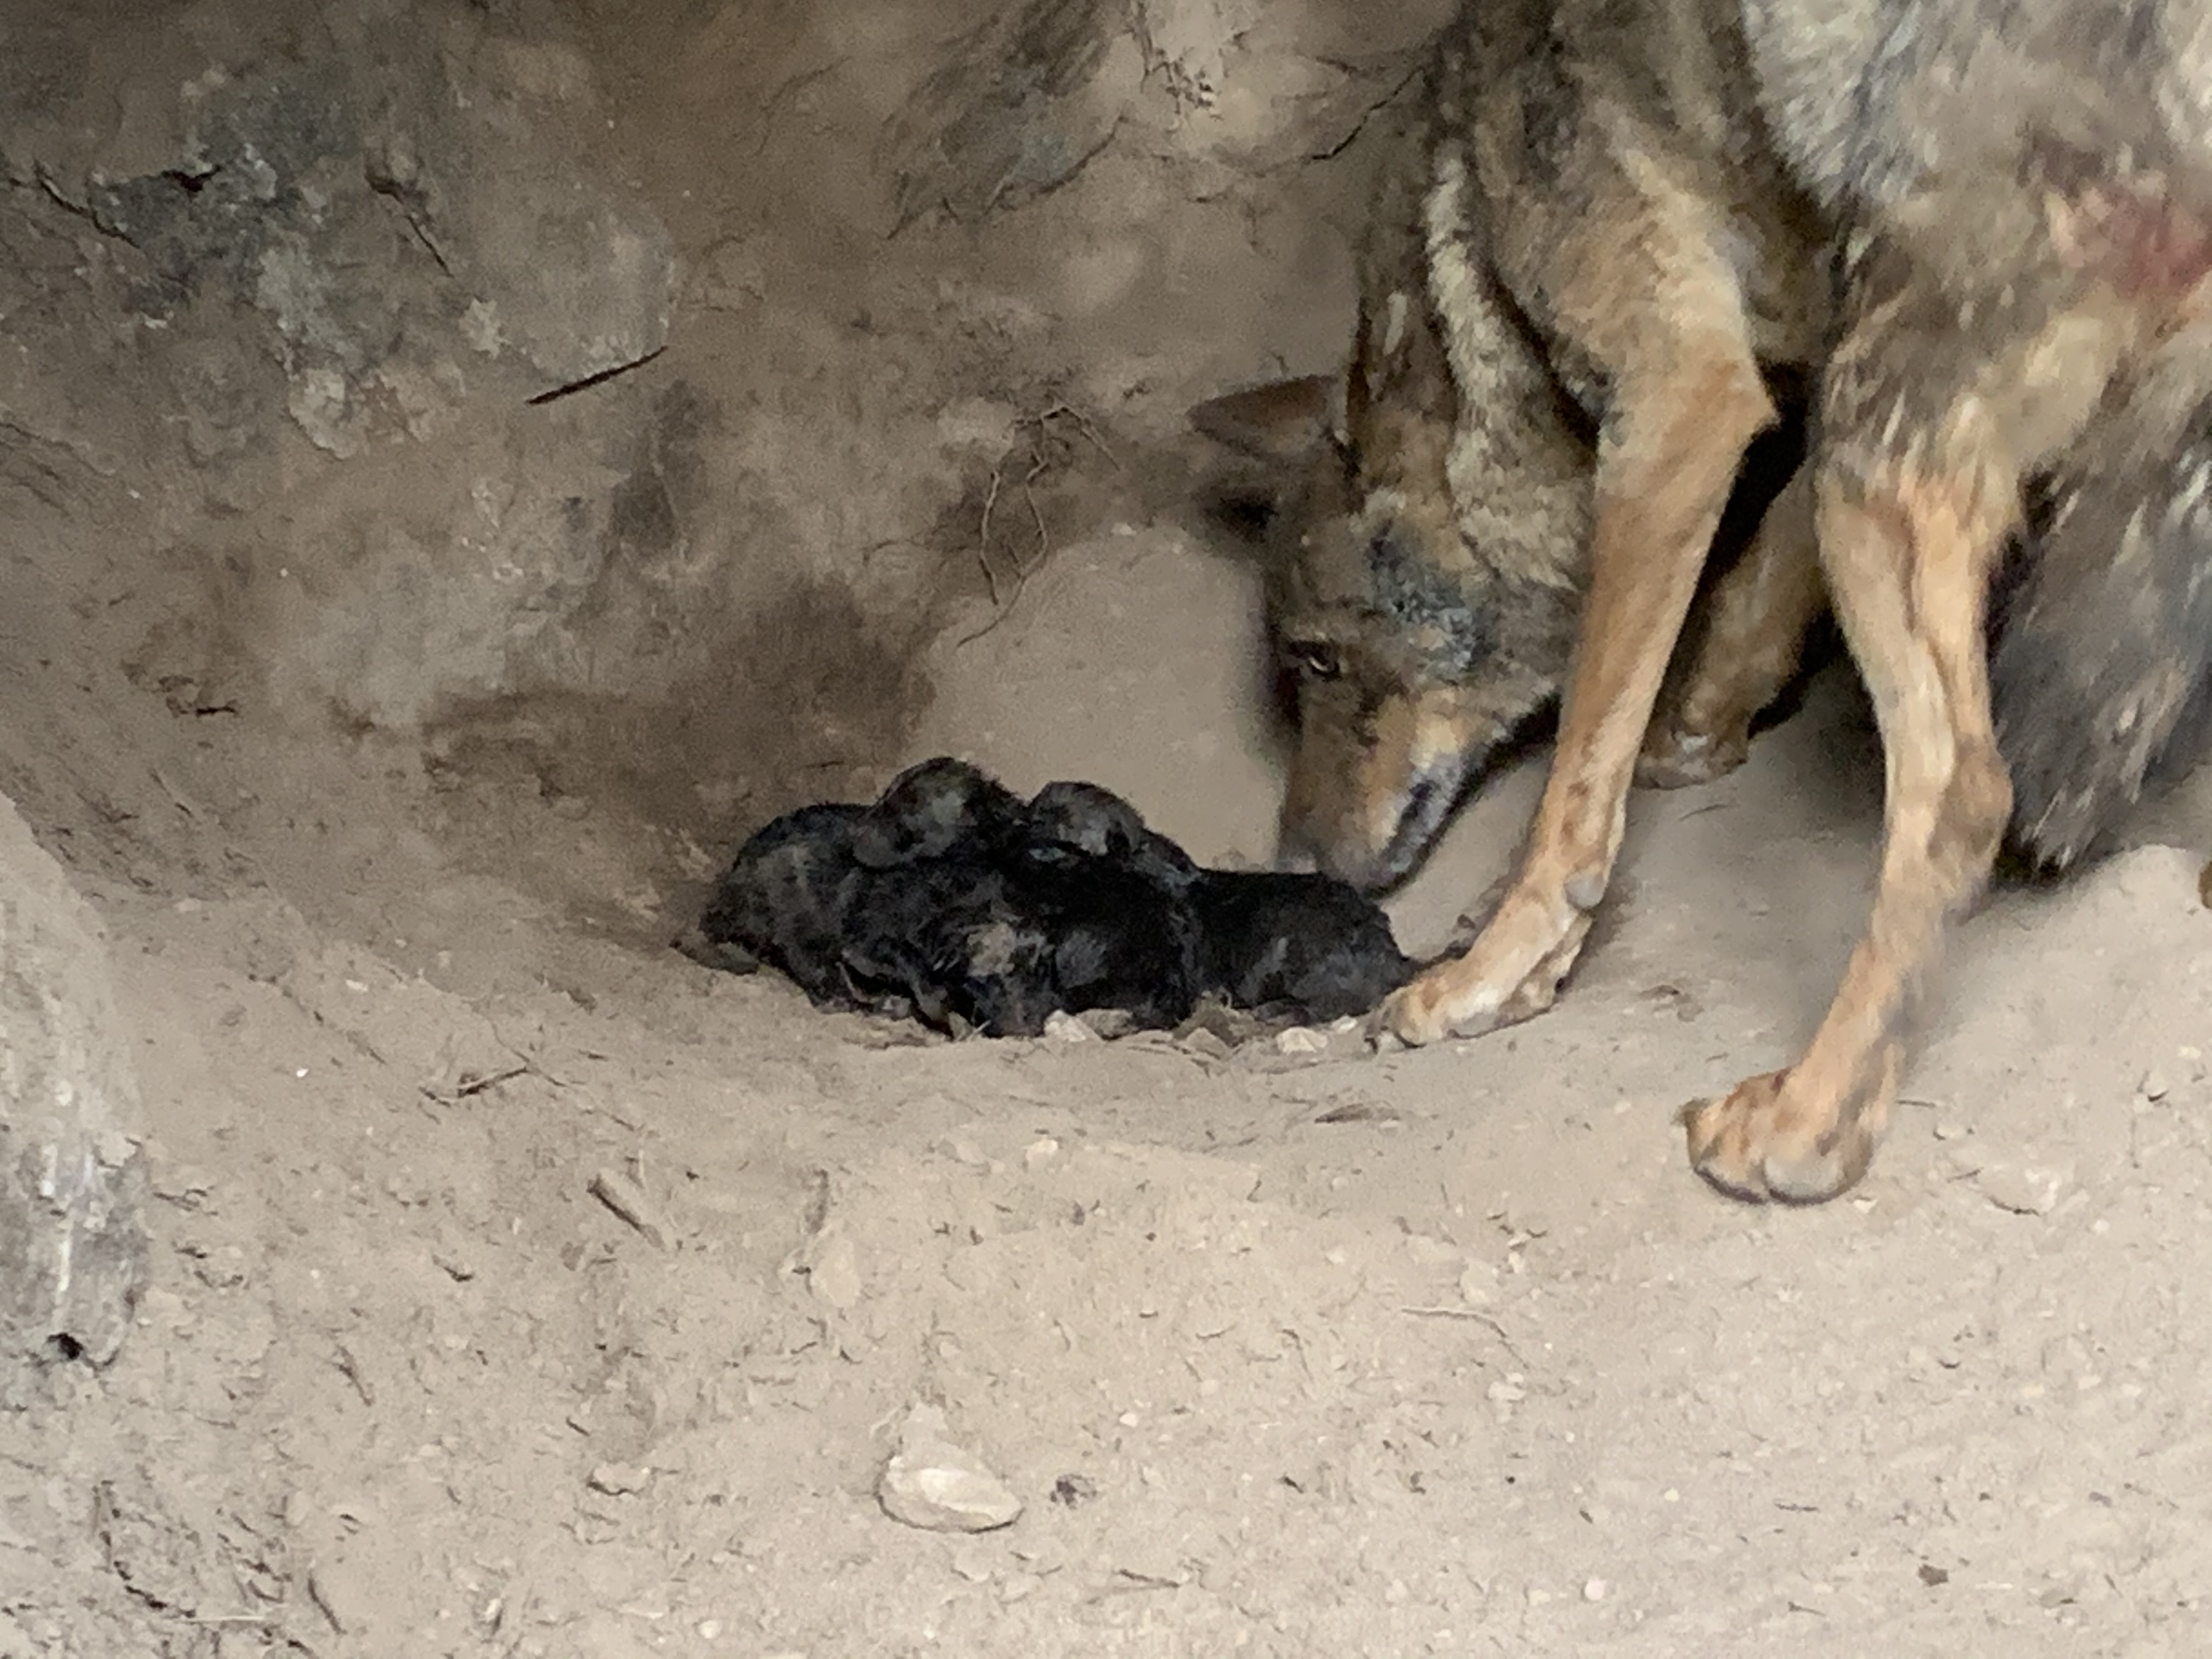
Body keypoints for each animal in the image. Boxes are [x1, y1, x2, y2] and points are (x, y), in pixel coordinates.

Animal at [1195, 0, 2212, 1201]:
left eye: (1315, 659)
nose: (1293, 864)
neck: (1473, 253)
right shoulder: (1805, 372)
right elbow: (1756, 578)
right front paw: (1698, 720)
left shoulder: (1679, 408)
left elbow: (1578, 779)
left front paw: (1499, 967)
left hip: (1880, 456)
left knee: (1962, 796)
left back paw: (1808, 1121)